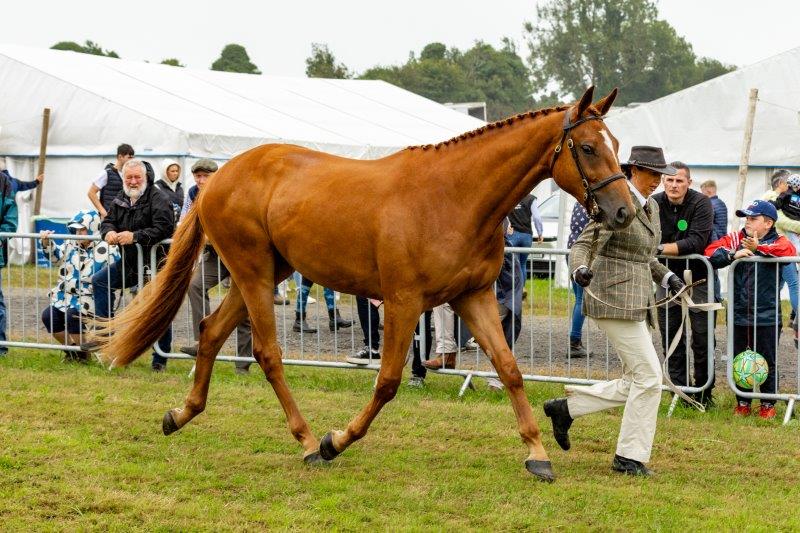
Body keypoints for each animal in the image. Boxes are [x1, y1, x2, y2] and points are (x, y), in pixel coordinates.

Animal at [98, 86, 633, 483]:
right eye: (588, 148)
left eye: (617, 146)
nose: (624, 212)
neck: (456, 197)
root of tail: (219, 178)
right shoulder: (402, 302)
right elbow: (389, 381)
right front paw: (335, 441)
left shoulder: (472, 297)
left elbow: (510, 370)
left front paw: (538, 453)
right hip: (252, 273)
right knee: (267, 354)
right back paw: (307, 440)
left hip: (268, 274)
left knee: (210, 332)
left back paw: (181, 414)